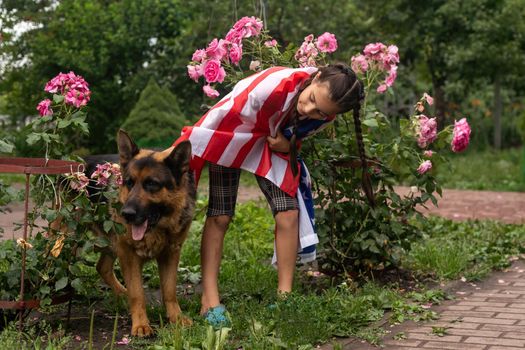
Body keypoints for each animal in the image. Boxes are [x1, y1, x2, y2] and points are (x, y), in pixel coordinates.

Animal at [93, 131, 195, 336]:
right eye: (129, 183)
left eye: (152, 184)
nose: (126, 214)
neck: (158, 228)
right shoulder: (129, 255)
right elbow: (137, 293)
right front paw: (140, 324)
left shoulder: (171, 253)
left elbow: (170, 290)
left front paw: (176, 318)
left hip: (112, 244)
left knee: (103, 267)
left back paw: (121, 293)